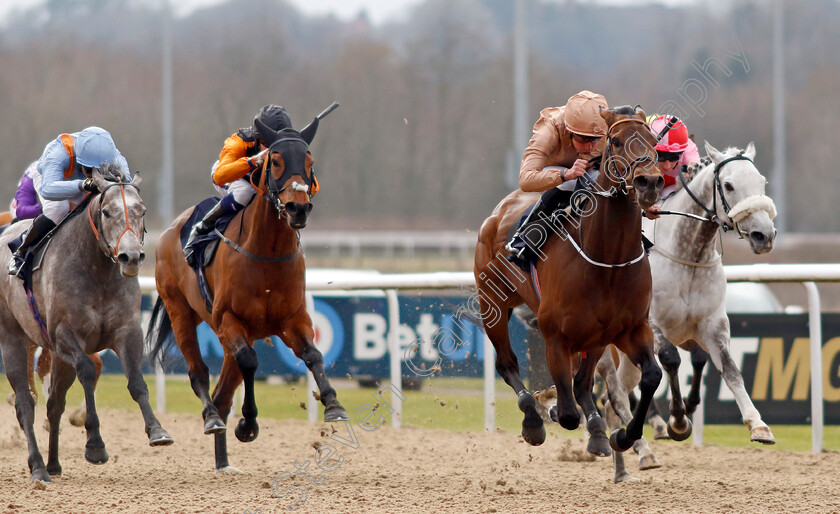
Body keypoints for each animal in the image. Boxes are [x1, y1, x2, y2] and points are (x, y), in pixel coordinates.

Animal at [0, 166, 172, 482]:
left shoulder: (127, 332)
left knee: (54, 404)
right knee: (25, 403)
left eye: (142, 210)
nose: (130, 257)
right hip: (13, 338)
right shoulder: (65, 337)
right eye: (106, 211)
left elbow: (136, 381)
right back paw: (38, 467)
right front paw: (95, 445)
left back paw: (53, 464)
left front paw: (157, 430)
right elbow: (89, 372)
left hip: (55, 356)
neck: (98, 271)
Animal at [148, 114, 348, 470]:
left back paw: (223, 462)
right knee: (200, 373)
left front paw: (334, 405)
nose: (298, 208)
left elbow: (313, 355)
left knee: (223, 393)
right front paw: (248, 424)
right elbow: (250, 362)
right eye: (276, 160)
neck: (267, 254)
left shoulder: (292, 319)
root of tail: (171, 228)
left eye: (309, 162)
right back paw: (212, 419)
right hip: (181, 311)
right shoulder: (230, 318)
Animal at [472, 105, 664, 456]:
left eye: (654, 141)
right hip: (492, 304)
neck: (608, 262)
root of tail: (500, 210)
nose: (649, 182)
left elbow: (652, 376)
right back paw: (533, 419)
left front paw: (623, 435)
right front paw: (547, 407)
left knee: (584, 383)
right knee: (507, 364)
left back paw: (599, 431)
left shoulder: (631, 329)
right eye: (616, 141)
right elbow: (567, 412)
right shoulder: (556, 337)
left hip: (595, 338)